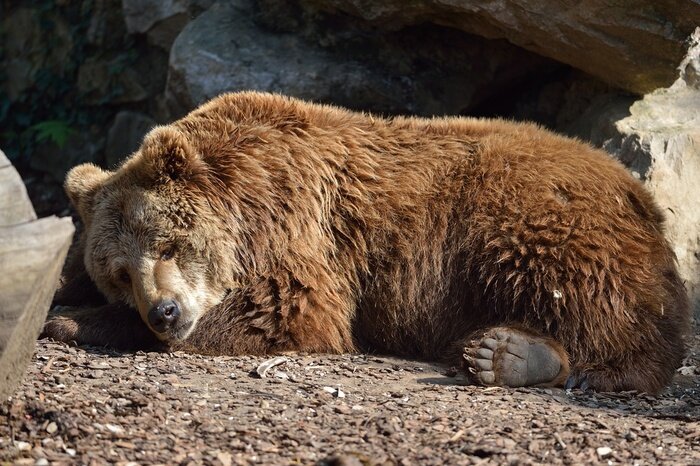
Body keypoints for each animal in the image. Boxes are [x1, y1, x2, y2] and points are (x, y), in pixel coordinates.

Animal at [44, 91, 690, 393]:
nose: (165, 311)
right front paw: (67, 296)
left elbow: (289, 313)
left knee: (597, 301)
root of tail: (635, 186)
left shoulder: (296, 227)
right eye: (120, 272)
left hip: (528, 216)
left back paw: (528, 357)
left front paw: (72, 320)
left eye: (171, 244)